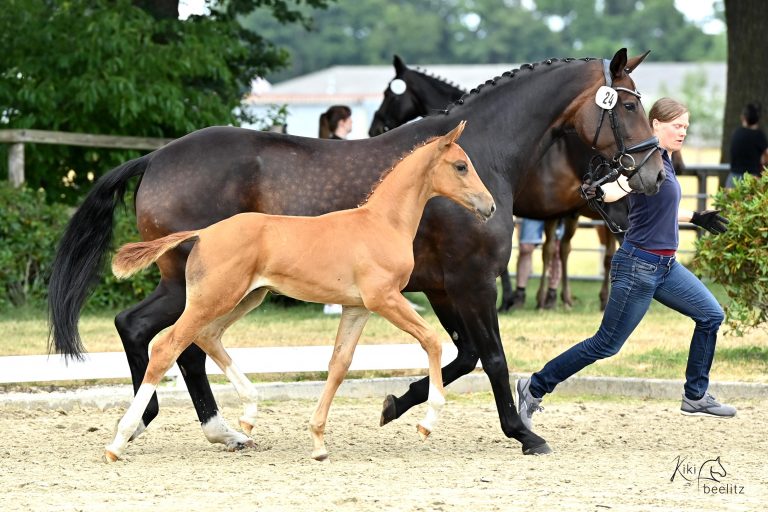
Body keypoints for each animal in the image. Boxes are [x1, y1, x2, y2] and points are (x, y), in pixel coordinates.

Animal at [103, 122, 495, 462]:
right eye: (461, 166)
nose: (489, 206)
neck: (381, 223)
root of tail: (203, 233)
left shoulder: (357, 308)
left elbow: (339, 364)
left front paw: (319, 442)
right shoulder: (384, 299)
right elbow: (431, 340)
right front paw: (427, 423)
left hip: (246, 298)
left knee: (207, 337)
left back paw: (247, 416)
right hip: (214, 298)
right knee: (166, 347)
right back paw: (120, 440)